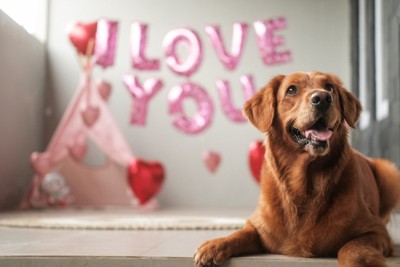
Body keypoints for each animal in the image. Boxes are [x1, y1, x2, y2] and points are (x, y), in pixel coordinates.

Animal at [195, 72, 400, 266]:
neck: (304, 184)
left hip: (389, 173)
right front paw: (214, 245)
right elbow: (241, 234)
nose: (323, 98)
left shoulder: (376, 231)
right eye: (292, 90)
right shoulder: (259, 227)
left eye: (330, 87)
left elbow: (351, 249)